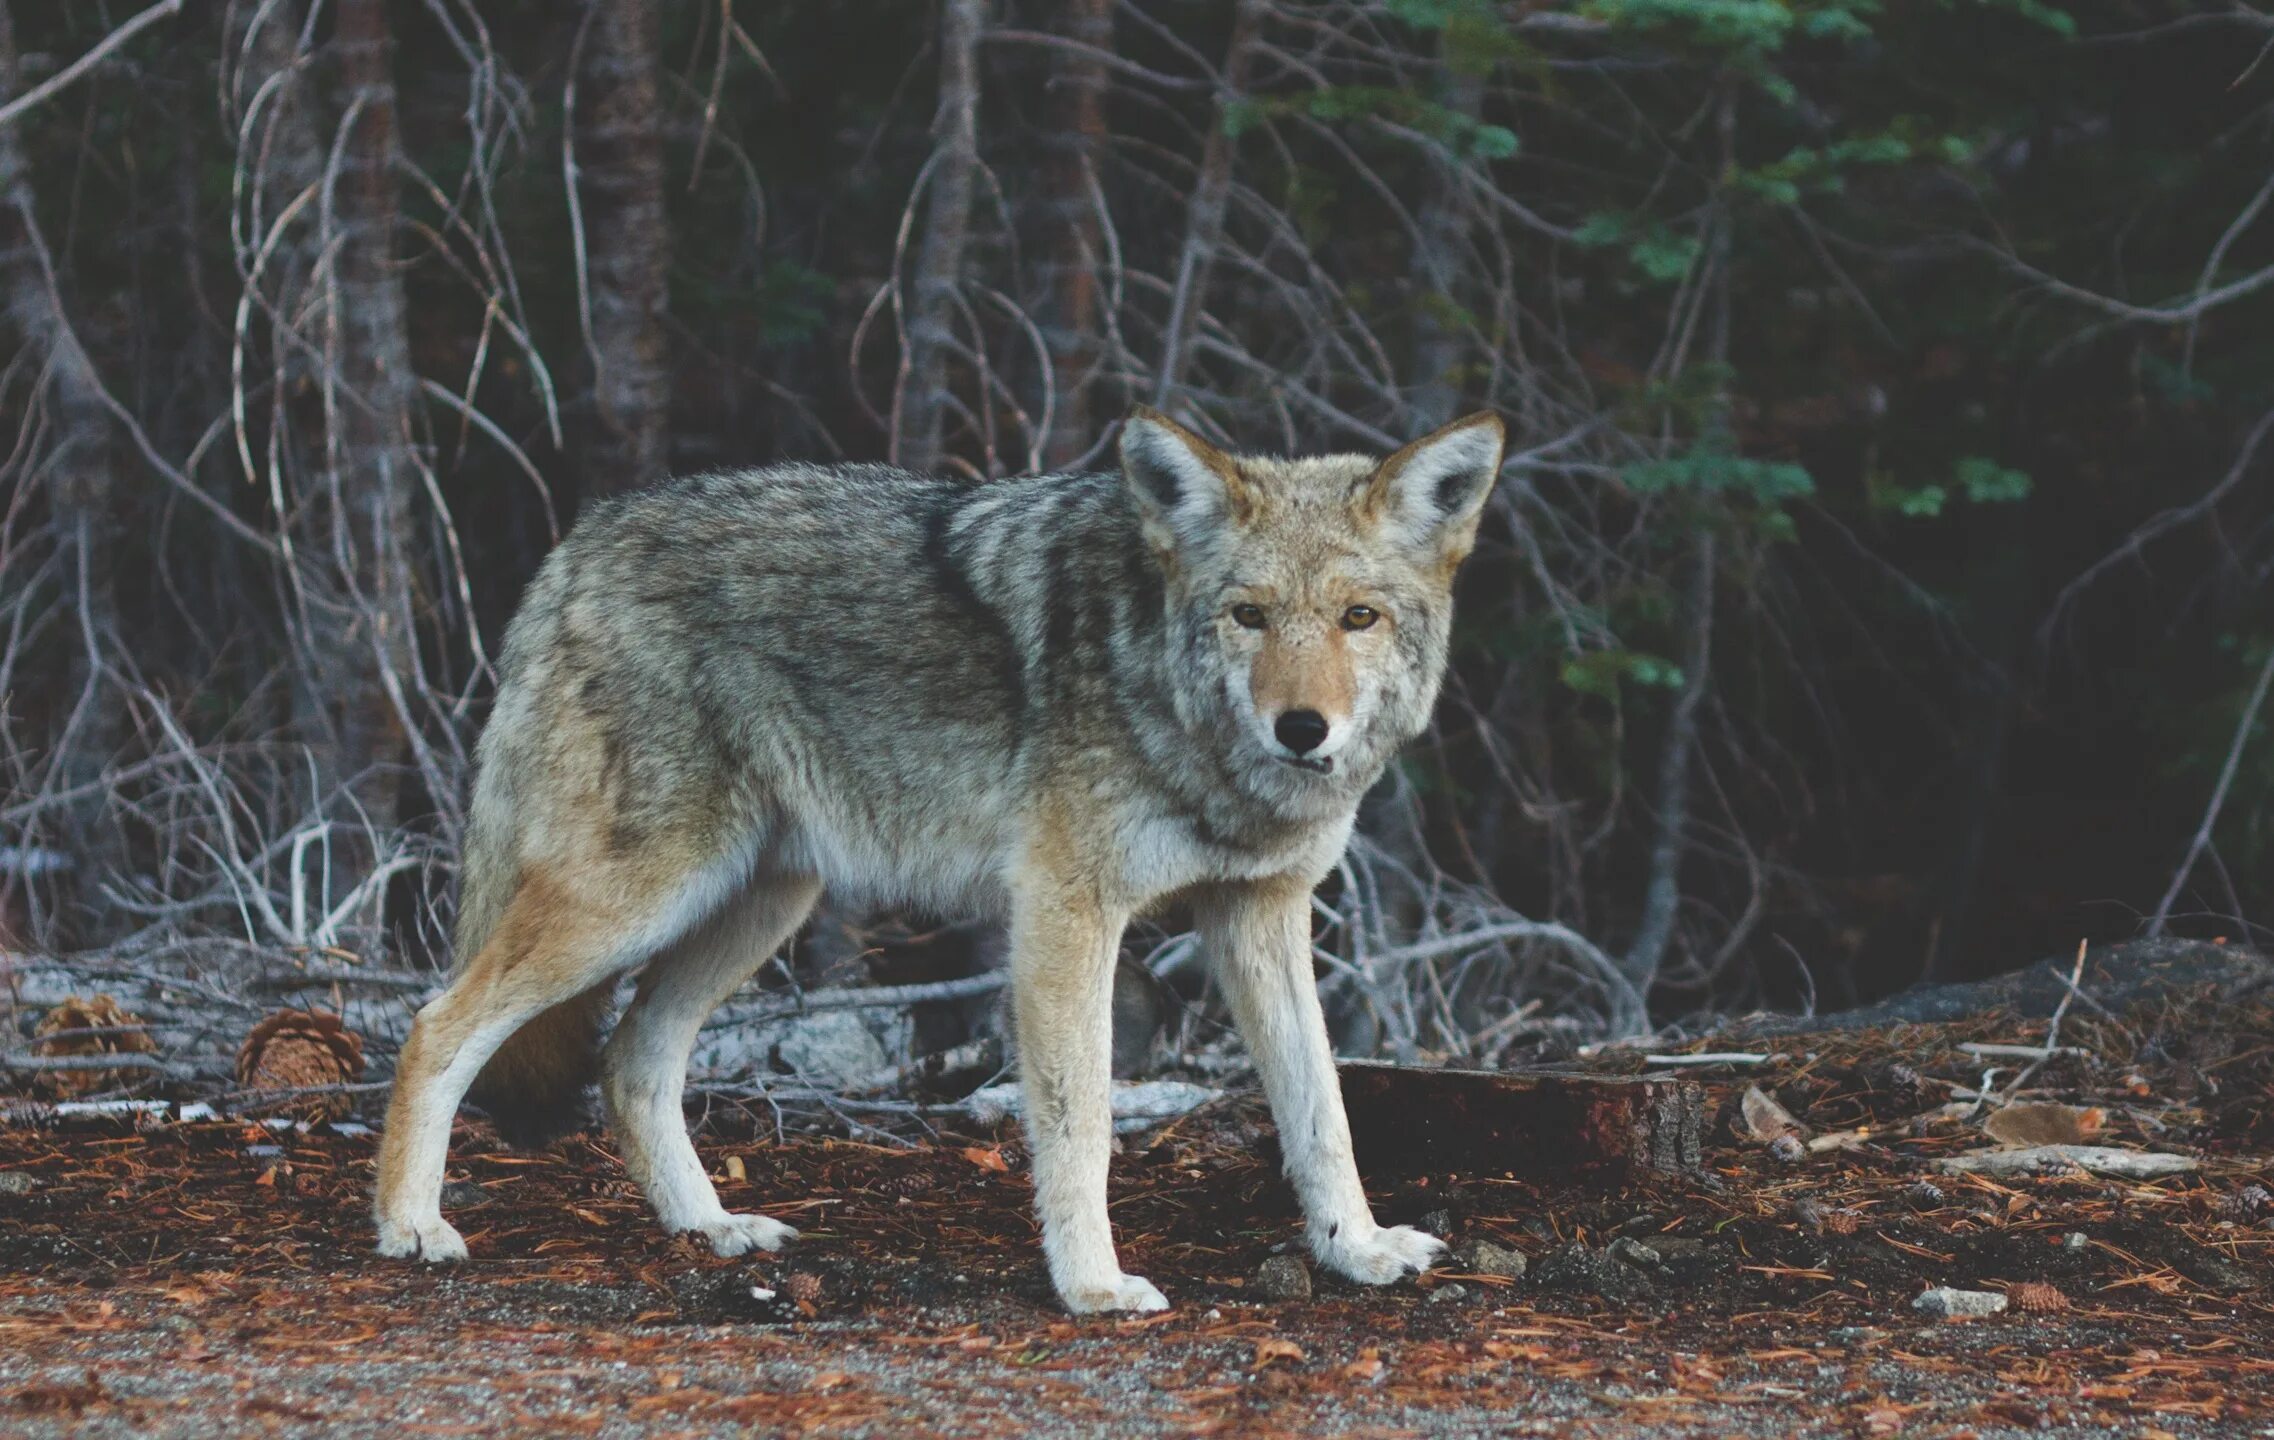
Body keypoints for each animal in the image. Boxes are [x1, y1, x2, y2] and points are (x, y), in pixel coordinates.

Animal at [379, 407, 1500, 1310]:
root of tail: (582, 540)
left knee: (630, 1062)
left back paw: (712, 1229)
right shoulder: (1065, 913)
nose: (1302, 728)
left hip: (756, 906)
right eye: (1250, 615)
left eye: (1358, 618)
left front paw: (1356, 1249)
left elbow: (1322, 1110)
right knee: (437, 1023)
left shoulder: (1261, 914)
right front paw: (1092, 1287)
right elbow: (1081, 1122)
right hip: (637, 899)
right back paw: (410, 1227)